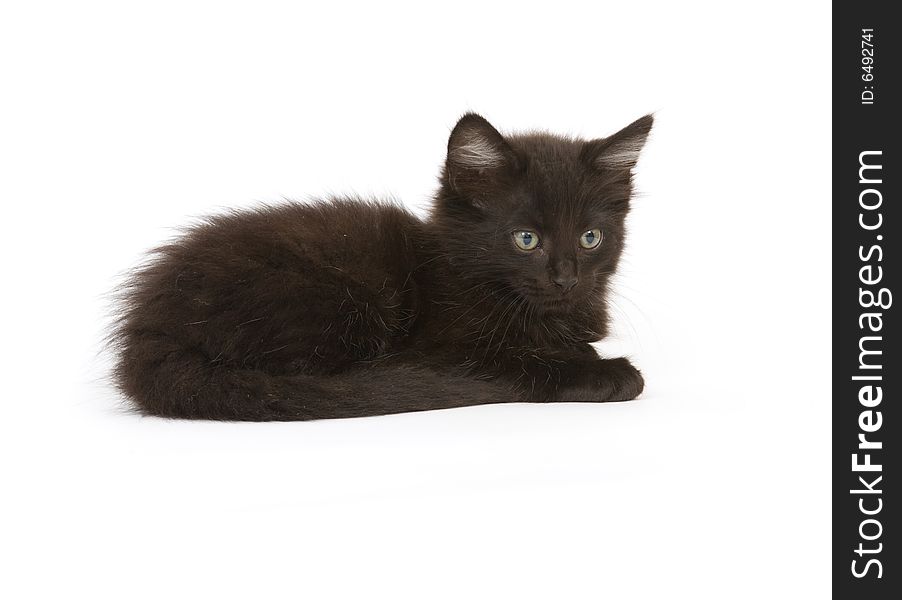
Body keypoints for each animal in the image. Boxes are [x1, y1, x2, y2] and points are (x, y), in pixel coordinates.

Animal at [113, 113, 652, 422]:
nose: (566, 279)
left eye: (590, 238)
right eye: (526, 239)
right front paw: (608, 373)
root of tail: (149, 333)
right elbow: (523, 358)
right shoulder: (445, 348)